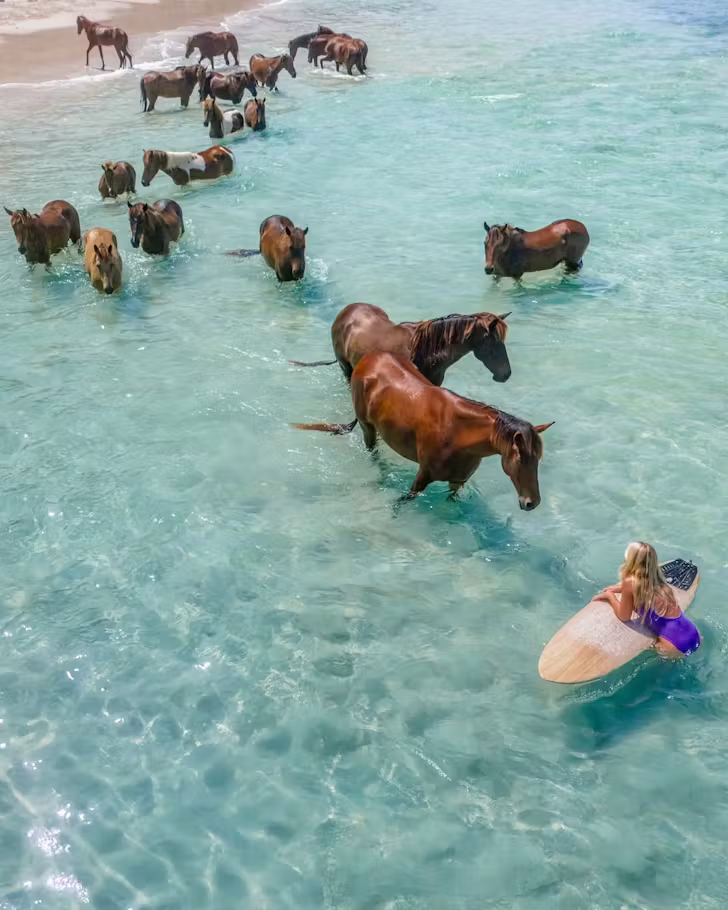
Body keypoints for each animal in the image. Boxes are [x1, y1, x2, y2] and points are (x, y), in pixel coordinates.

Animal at [294, 352, 552, 507]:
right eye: (519, 459)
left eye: (538, 459)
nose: (532, 502)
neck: (459, 435)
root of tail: (369, 359)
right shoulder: (422, 477)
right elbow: (405, 501)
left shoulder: (457, 482)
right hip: (368, 428)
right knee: (372, 452)